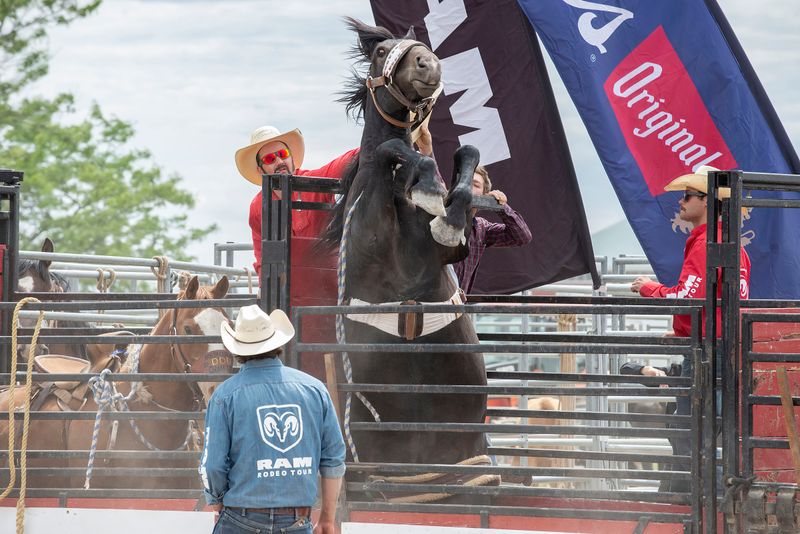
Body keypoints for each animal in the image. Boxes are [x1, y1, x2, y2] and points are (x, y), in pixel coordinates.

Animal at [320, 19, 494, 496]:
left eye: (424, 46)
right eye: (381, 52)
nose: (427, 63)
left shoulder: (452, 251)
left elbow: (467, 157)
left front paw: (441, 205)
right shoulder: (371, 234)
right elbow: (390, 150)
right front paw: (428, 184)